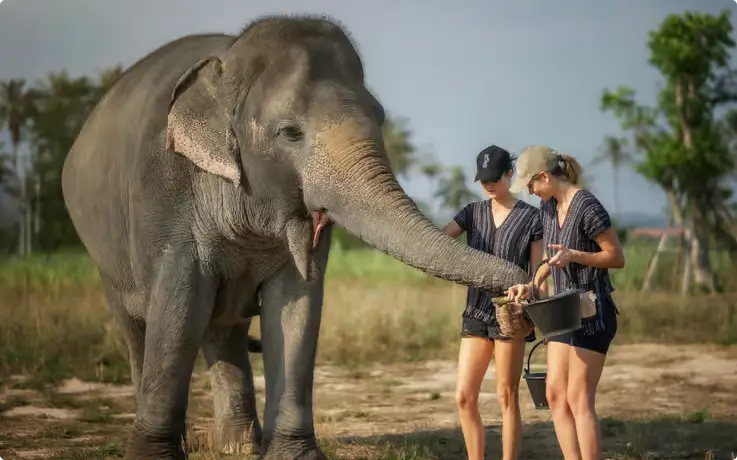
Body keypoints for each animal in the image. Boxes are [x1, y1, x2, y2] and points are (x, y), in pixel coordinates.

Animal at [60, 14, 531, 460]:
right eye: (289, 132)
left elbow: (296, 306)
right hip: (105, 256)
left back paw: (239, 447)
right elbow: (178, 306)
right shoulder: (164, 200)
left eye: (380, 117)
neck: (228, 67)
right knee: (140, 328)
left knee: (223, 328)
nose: (524, 287)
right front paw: (154, 456)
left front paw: (295, 454)